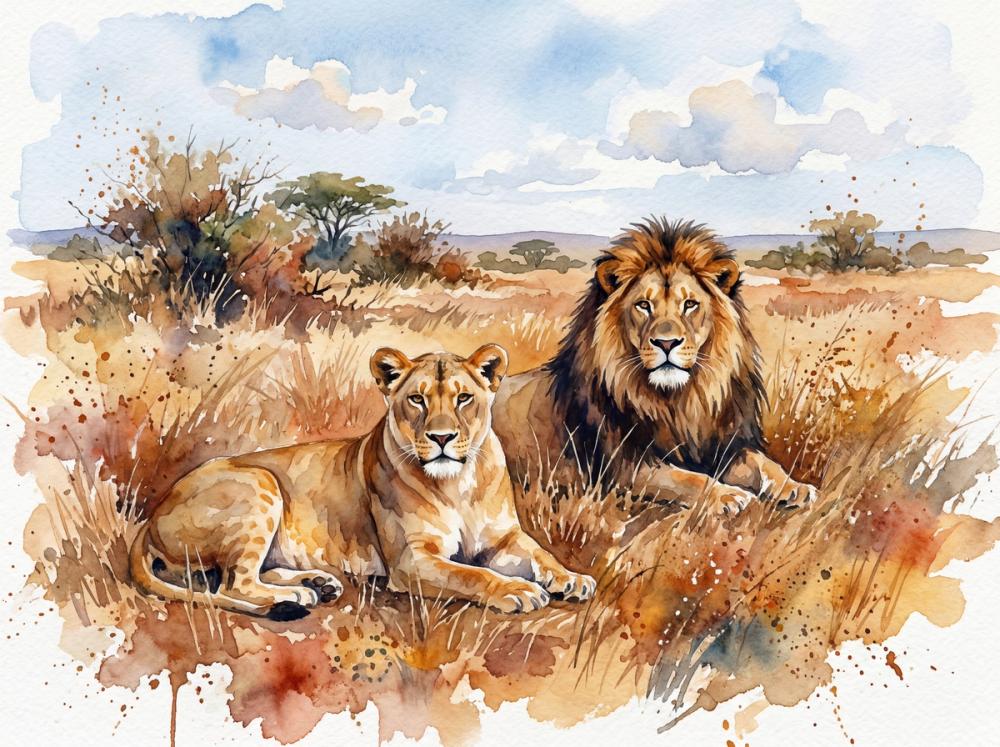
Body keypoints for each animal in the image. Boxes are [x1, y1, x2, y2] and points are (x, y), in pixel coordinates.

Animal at [130, 344, 595, 621]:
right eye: (417, 399)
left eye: (464, 398)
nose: (442, 438)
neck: (458, 481)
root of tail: (150, 519)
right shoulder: (412, 562)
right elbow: (472, 576)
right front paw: (517, 590)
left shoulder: (502, 539)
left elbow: (540, 554)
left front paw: (572, 579)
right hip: (260, 481)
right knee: (234, 582)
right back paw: (295, 599)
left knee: (246, 575)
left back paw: (316, 584)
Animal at [493, 217, 816, 515]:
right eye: (643, 305)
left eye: (689, 304)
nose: (666, 342)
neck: (681, 402)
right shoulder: (625, 467)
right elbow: (687, 479)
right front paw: (727, 495)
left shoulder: (724, 446)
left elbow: (764, 462)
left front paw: (795, 487)